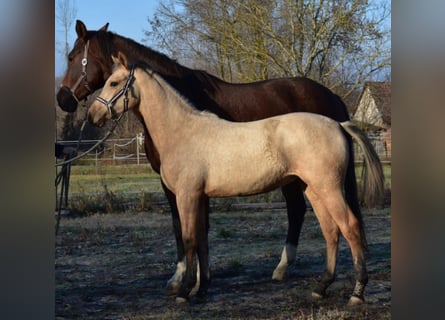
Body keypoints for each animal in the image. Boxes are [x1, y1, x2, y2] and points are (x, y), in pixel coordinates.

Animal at [55, 20, 374, 296]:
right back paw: (319, 285)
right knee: (329, 229)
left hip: (327, 188)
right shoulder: (196, 194)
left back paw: (356, 292)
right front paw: (199, 286)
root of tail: (337, 122)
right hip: (313, 188)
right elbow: (201, 237)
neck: (182, 128)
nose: (88, 113)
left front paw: (183, 288)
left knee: (349, 226)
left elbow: (189, 238)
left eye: (114, 83)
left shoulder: (185, 194)